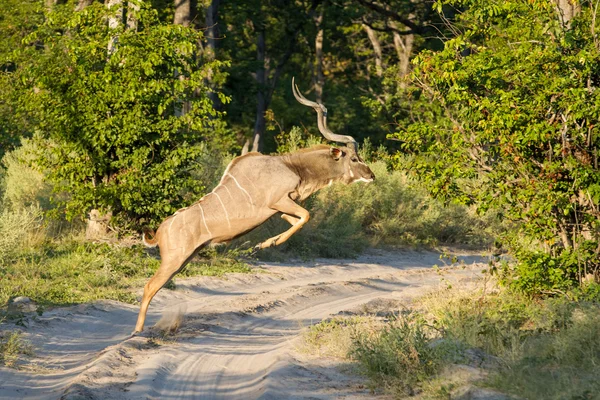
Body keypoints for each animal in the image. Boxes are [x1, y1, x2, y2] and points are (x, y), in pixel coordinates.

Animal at [135, 77, 376, 332]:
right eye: (354, 158)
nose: (371, 175)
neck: (292, 166)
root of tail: (160, 232)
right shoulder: (279, 200)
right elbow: (306, 216)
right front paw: (267, 243)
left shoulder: (282, 208)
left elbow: (298, 220)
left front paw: (267, 243)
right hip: (174, 261)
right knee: (149, 286)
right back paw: (137, 332)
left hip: (183, 261)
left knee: (155, 286)